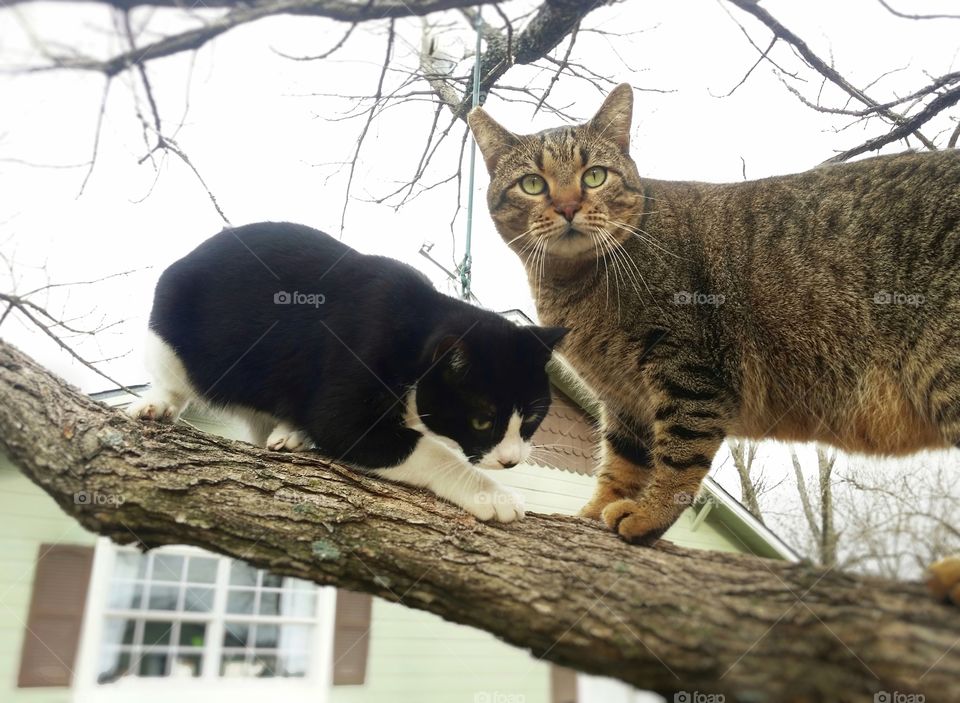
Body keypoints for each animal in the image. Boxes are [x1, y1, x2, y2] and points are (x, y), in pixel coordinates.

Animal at [126, 224, 564, 524]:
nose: (511, 460)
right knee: (173, 379)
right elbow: (429, 451)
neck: (415, 331)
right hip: (170, 319)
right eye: (482, 420)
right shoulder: (349, 392)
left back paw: (290, 432)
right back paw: (157, 404)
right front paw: (494, 496)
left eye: (532, 419)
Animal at [468, 82, 960, 600]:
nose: (566, 206)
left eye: (594, 176)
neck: (573, 285)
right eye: (533, 184)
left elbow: (679, 455)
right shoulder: (624, 397)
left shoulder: (688, 370)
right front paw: (593, 511)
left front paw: (648, 514)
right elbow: (622, 462)